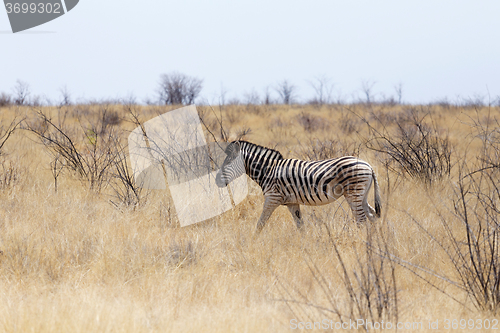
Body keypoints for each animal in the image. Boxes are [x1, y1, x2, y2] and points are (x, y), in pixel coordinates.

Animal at [215, 140, 382, 233]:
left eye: (228, 161)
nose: (216, 181)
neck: (268, 170)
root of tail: (368, 165)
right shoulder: (292, 202)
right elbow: (300, 226)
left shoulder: (272, 199)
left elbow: (260, 223)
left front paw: (252, 242)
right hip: (362, 194)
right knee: (372, 216)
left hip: (353, 193)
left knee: (362, 219)